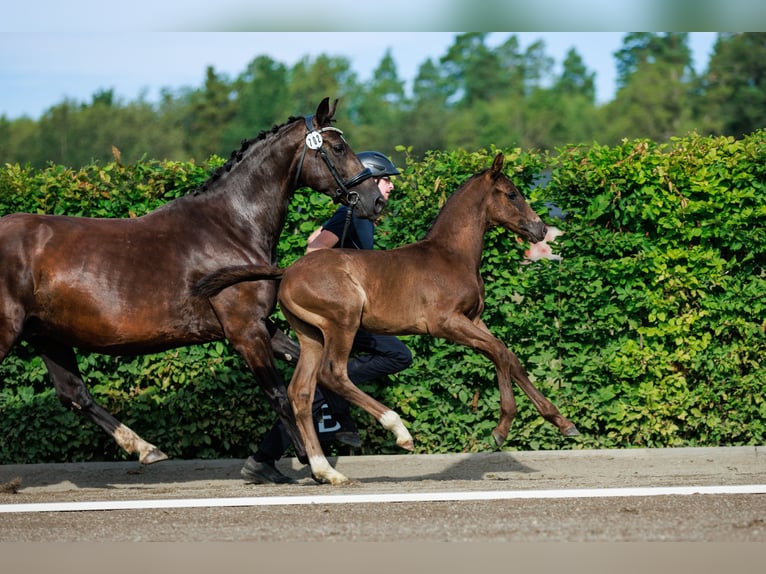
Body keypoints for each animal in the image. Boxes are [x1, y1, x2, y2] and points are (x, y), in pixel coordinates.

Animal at [0, 98, 384, 468]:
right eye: (338, 147)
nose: (375, 200)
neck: (232, 227)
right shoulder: (245, 331)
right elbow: (278, 394)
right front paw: (309, 461)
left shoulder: (259, 324)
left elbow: (313, 372)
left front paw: (343, 431)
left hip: (47, 334)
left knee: (74, 394)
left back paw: (146, 449)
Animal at [195, 154, 580, 486]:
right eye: (512, 194)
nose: (540, 229)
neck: (450, 255)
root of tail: (286, 271)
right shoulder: (447, 323)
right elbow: (499, 353)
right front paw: (501, 430)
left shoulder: (474, 320)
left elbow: (510, 356)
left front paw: (563, 422)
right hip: (343, 322)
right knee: (333, 374)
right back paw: (399, 432)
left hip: (311, 335)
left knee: (301, 391)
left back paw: (325, 471)